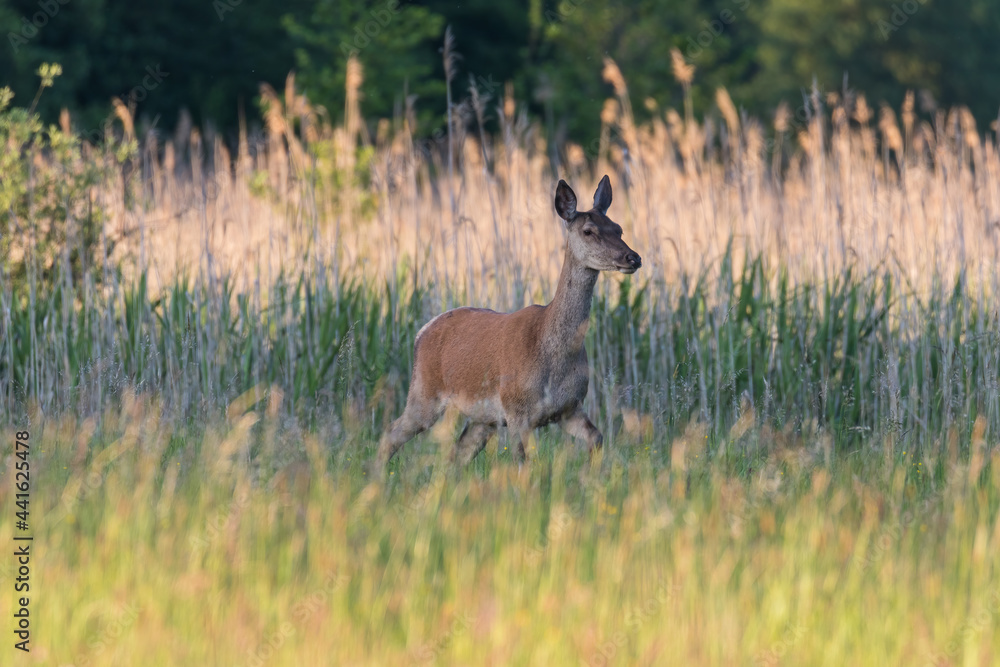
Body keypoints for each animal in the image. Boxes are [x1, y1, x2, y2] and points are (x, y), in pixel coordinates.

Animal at [374, 175, 641, 472]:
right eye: (588, 231)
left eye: (618, 229)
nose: (633, 257)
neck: (551, 351)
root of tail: (421, 332)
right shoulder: (516, 410)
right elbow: (521, 464)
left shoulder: (569, 407)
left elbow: (597, 438)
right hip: (424, 392)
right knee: (391, 433)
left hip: (483, 419)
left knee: (456, 454)